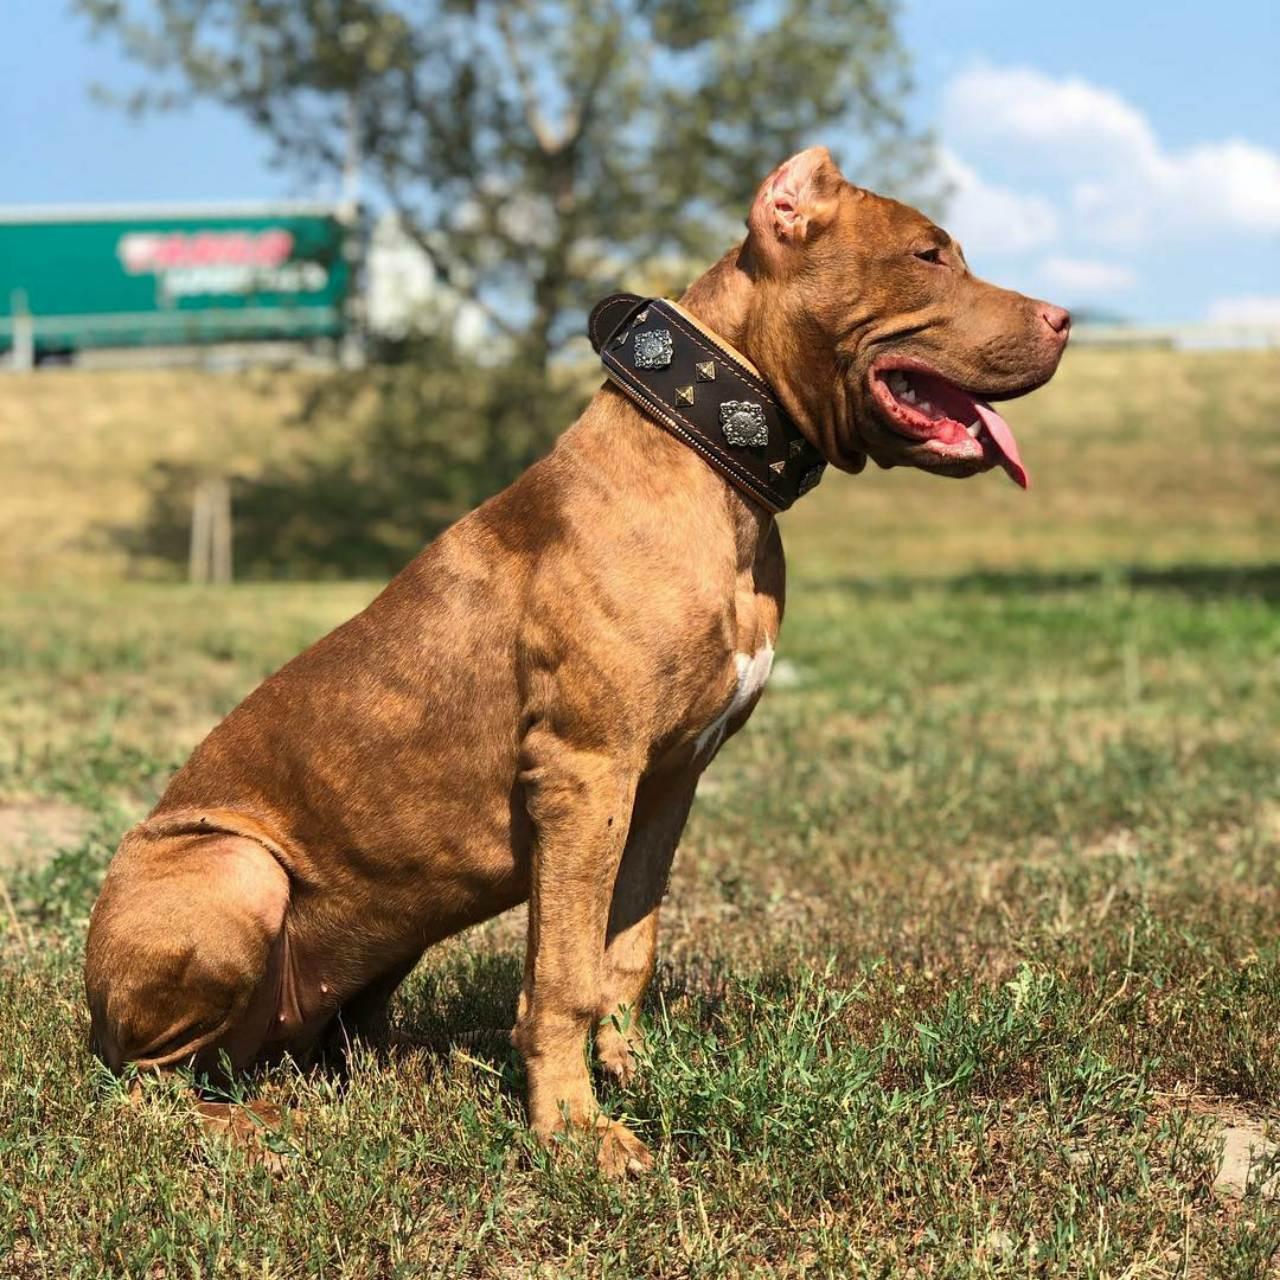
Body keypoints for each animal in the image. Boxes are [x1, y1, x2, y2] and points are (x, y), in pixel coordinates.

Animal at [87, 145, 1070, 1172]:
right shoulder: (584, 772)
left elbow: (623, 950)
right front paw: (574, 1129)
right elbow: (562, 973)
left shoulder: (665, 782)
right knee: (144, 1087)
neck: (710, 464)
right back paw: (255, 1122)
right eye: (928, 254)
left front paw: (635, 1073)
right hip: (238, 870)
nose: (1064, 319)